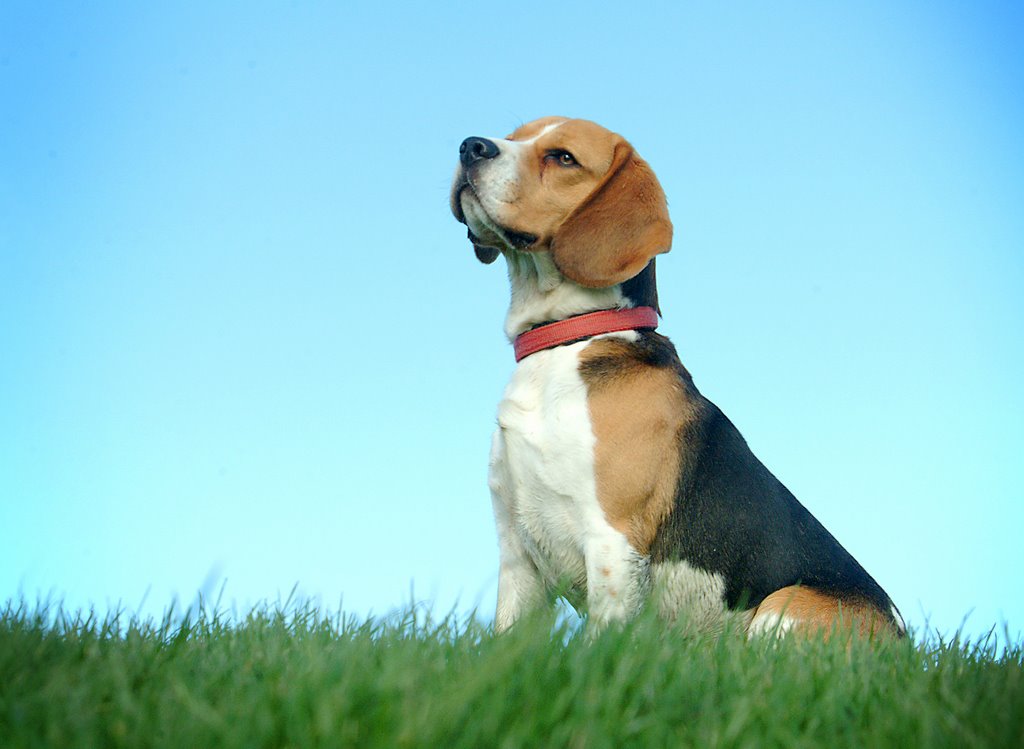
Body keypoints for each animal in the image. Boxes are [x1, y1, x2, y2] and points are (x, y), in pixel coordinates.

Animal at [448, 117, 905, 639]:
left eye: (563, 157)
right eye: (514, 135)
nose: (470, 147)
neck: (567, 342)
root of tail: (903, 639)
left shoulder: (612, 539)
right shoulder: (516, 552)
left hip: (781, 608)